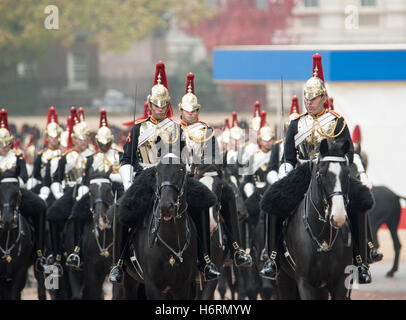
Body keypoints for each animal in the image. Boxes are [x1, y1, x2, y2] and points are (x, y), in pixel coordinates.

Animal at [264, 140, 354, 300]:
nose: (338, 216)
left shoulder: (341, 282)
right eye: (322, 174)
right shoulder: (304, 282)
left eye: (347, 173)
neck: (324, 236)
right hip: (284, 278)